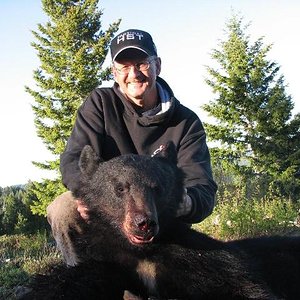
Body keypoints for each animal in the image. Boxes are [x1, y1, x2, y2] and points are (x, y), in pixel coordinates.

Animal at [22, 144, 300, 298]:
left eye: (157, 188)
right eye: (120, 188)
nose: (144, 223)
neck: (142, 252)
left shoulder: (198, 259)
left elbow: (240, 284)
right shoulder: (108, 260)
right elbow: (69, 281)